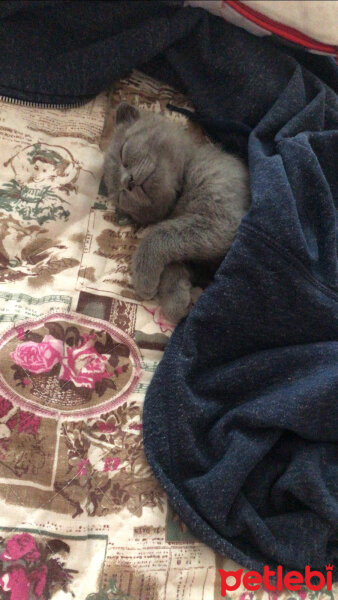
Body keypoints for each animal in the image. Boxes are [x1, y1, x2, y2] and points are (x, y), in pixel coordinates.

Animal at [104, 102, 250, 324]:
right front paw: (179, 302)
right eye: (120, 195)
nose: (127, 183)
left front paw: (143, 278)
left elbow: (157, 236)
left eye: (123, 153)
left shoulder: (221, 220)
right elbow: (173, 264)